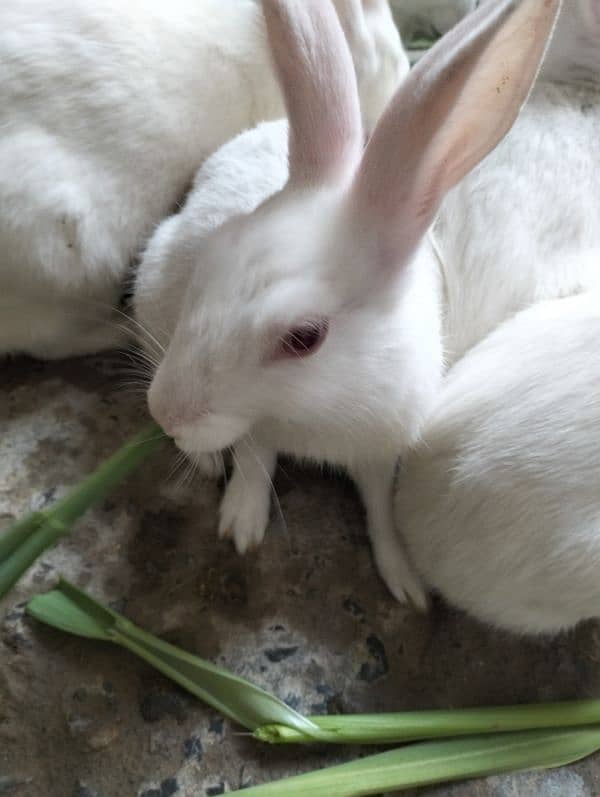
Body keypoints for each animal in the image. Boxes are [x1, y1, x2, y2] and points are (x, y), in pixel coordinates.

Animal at [137, 0, 562, 608]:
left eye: (305, 338)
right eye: (212, 259)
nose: (167, 413)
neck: (318, 412)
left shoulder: (380, 449)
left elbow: (380, 507)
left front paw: (405, 582)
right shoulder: (260, 428)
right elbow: (254, 461)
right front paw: (241, 525)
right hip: (152, 289)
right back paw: (203, 457)